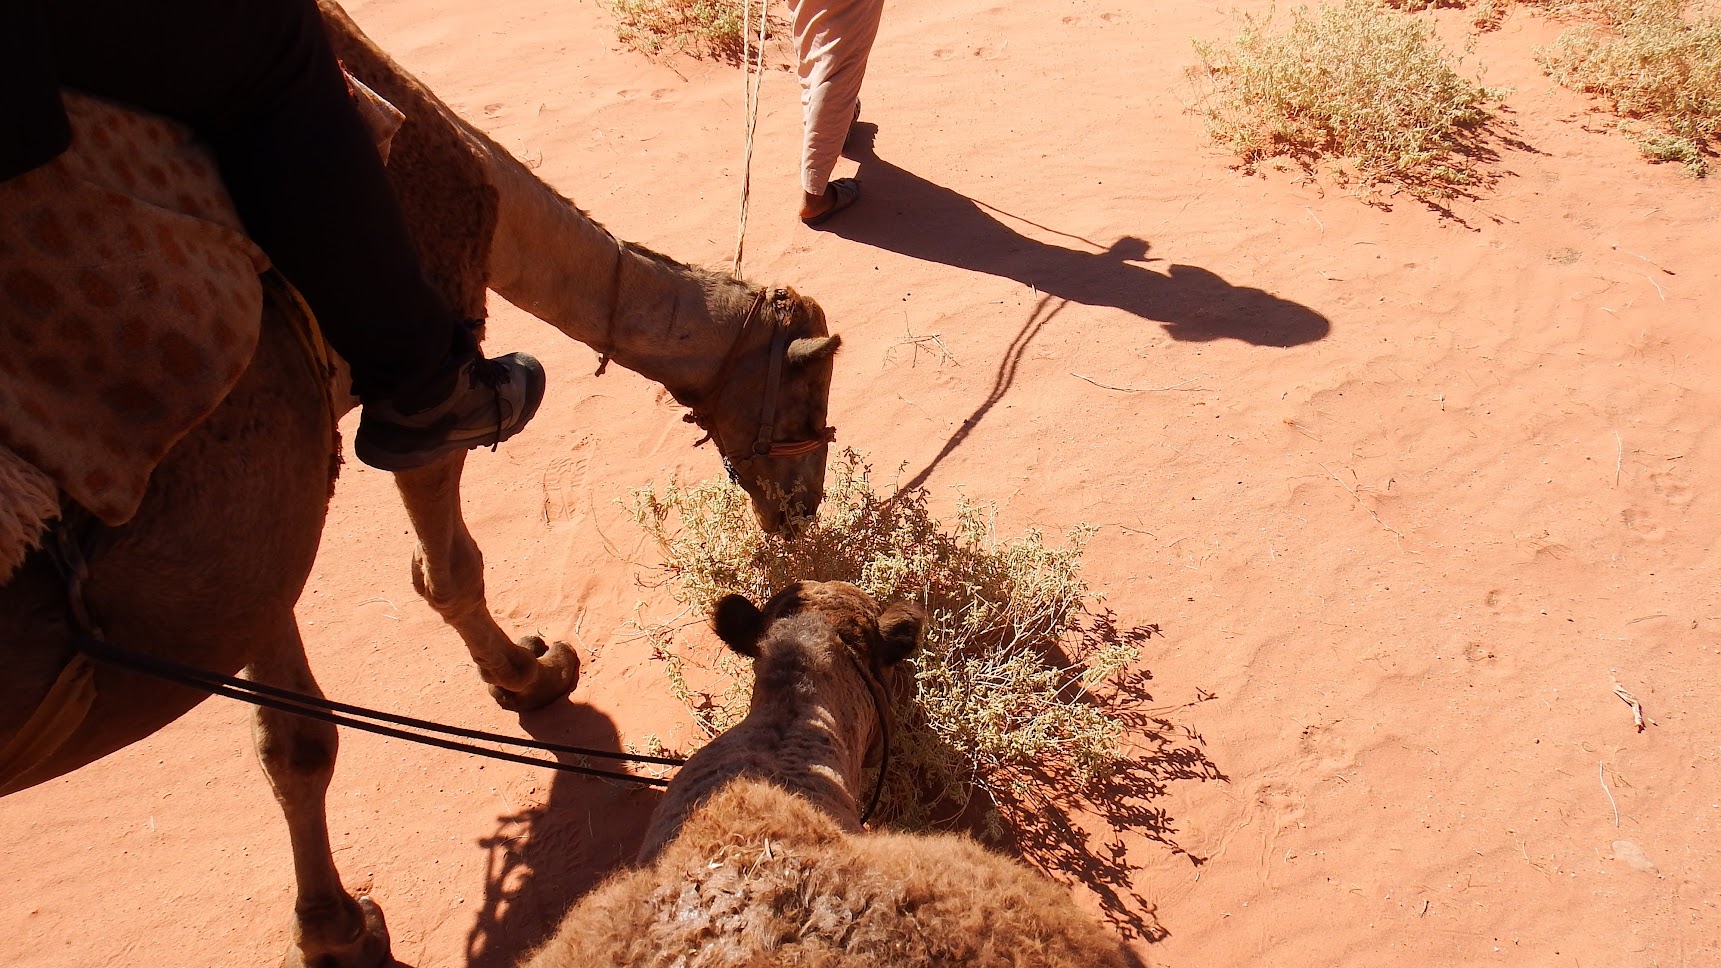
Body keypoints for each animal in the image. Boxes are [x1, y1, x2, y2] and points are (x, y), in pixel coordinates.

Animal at [0, 3, 843, 957]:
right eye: (811, 388)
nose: (804, 506)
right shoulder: (405, 393)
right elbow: (444, 576)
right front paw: (529, 676)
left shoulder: (257, 517)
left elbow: (288, 734)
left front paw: (331, 928)